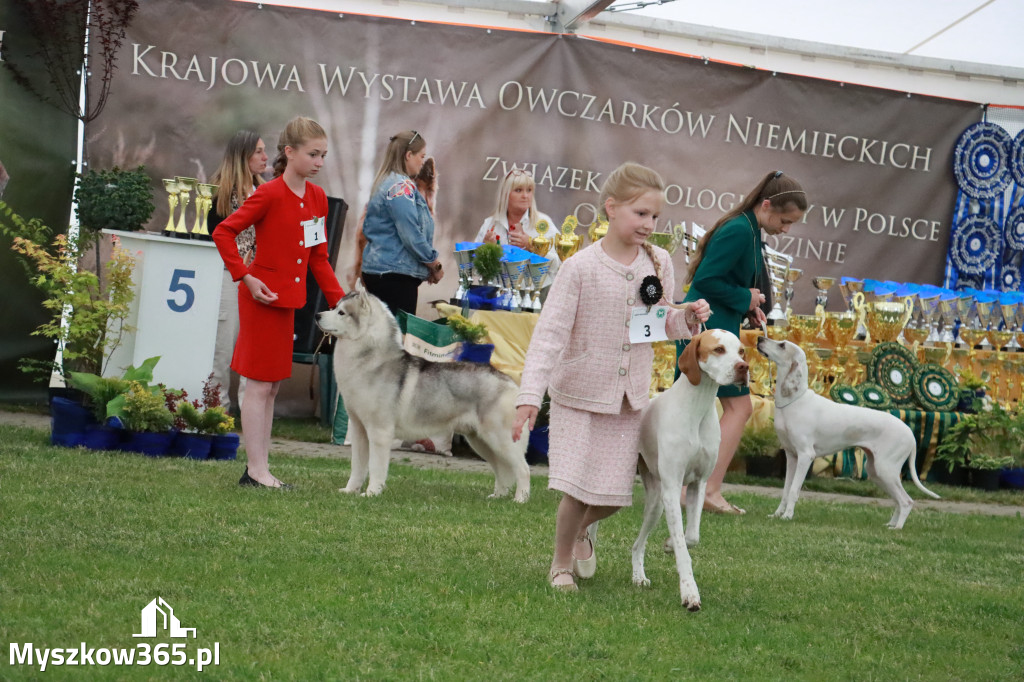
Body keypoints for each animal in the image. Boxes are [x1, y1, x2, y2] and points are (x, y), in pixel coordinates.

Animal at [317, 288, 528, 499]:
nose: (317, 315)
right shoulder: (359, 429)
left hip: (500, 439)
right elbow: (358, 466)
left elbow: (376, 466)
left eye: (341, 312)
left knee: (522, 469)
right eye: (334, 307)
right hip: (481, 441)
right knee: (502, 469)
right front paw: (350, 490)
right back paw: (498, 497)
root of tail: (510, 382)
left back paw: (520, 499)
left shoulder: (379, 431)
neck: (371, 359)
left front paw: (372, 493)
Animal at [626, 327, 749, 606]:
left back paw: (638, 576)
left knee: (638, 545)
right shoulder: (673, 489)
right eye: (718, 349)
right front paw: (689, 592)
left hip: (656, 503)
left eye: (741, 351)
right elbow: (684, 550)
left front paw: (669, 544)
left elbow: (691, 536)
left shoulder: (697, 484)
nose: (743, 368)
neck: (698, 408)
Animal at [757, 333, 937, 524]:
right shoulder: (791, 457)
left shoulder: (805, 456)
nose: (759, 338)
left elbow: (793, 491)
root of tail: (910, 434)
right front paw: (777, 515)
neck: (794, 401)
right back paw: (890, 525)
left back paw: (897, 528)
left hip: (885, 469)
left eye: (782, 345)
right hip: (876, 471)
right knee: (899, 501)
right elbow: (785, 491)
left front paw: (787, 516)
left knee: (906, 501)